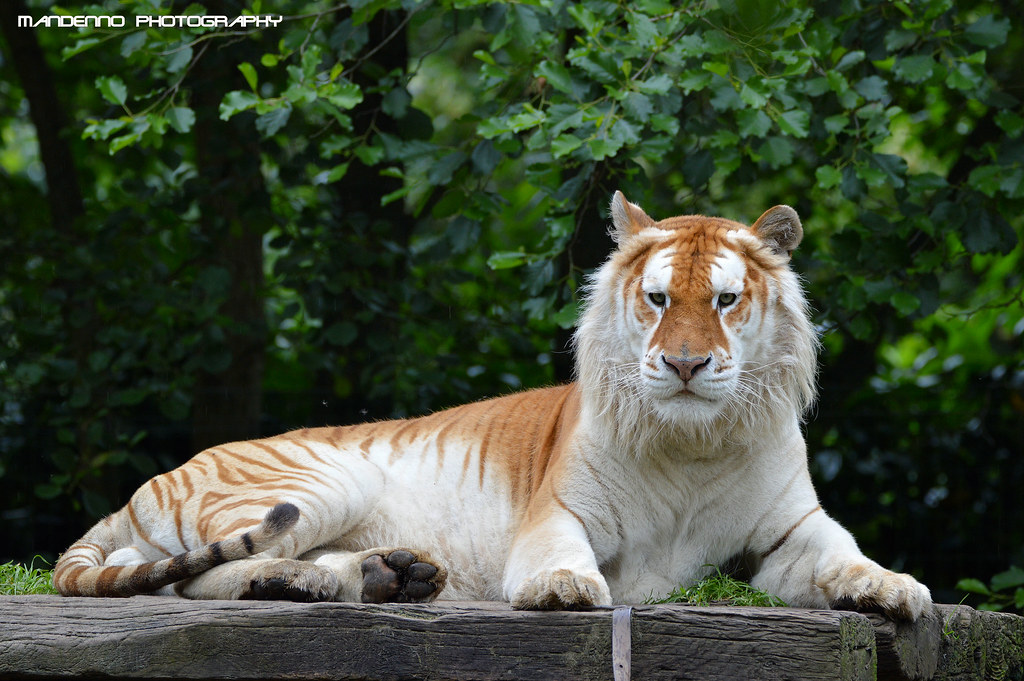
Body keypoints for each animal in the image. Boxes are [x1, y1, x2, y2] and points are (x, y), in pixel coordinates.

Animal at [56, 193, 937, 618]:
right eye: (657, 299)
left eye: (724, 300)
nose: (685, 363)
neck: (693, 444)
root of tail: (143, 487)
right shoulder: (559, 512)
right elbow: (563, 555)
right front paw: (564, 588)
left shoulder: (792, 531)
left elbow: (849, 558)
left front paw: (898, 588)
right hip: (321, 479)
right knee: (192, 575)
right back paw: (304, 580)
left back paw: (387, 575)